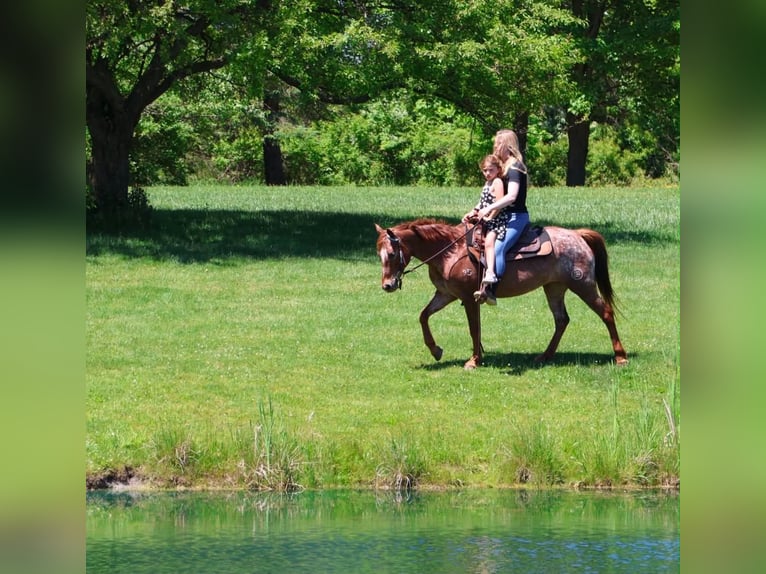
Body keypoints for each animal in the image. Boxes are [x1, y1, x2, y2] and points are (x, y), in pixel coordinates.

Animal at [374, 218, 628, 370]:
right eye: (379, 255)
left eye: (392, 254)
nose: (387, 285)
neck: (450, 251)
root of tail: (578, 235)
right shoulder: (446, 294)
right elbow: (424, 316)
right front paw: (436, 350)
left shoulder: (468, 297)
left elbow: (474, 328)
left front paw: (474, 360)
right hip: (554, 288)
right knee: (561, 320)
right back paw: (544, 356)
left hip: (583, 284)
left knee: (606, 313)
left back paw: (620, 356)